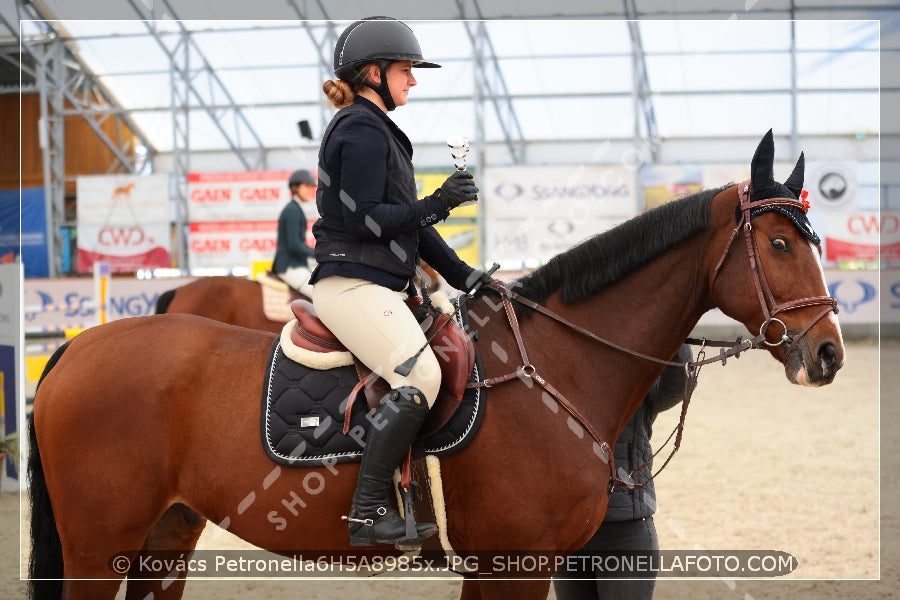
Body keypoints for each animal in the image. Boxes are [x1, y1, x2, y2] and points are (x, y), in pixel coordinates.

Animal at [28, 132, 844, 600]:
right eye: (779, 244)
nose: (828, 353)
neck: (557, 370)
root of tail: (78, 346)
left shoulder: (505, 567)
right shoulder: (516, 565)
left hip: (166, 535)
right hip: (99, 546)